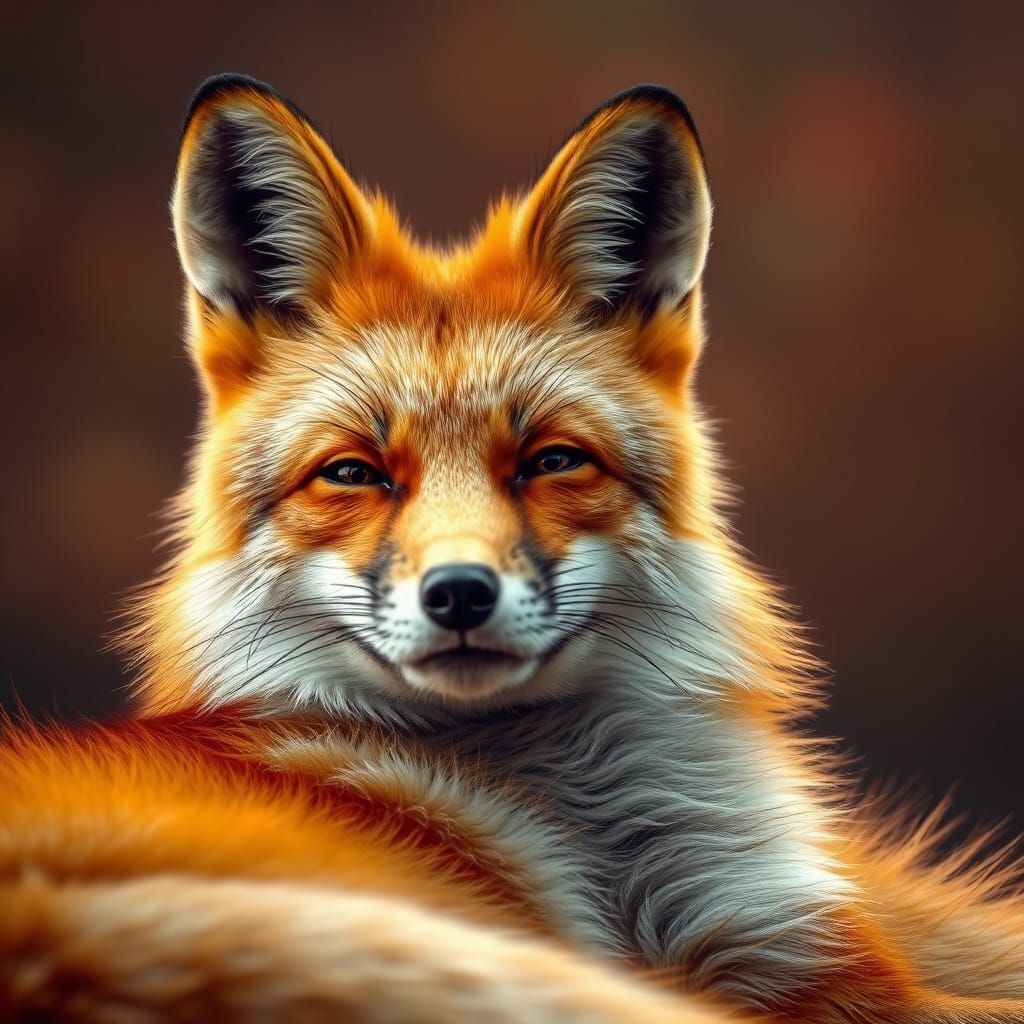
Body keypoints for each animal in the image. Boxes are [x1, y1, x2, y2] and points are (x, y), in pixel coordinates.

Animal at [2, 73, 1023, 1024]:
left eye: (551, 461)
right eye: (354, 474)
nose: (459, 592)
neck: (613, 857)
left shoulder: (807, 942)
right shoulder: (817, 987)